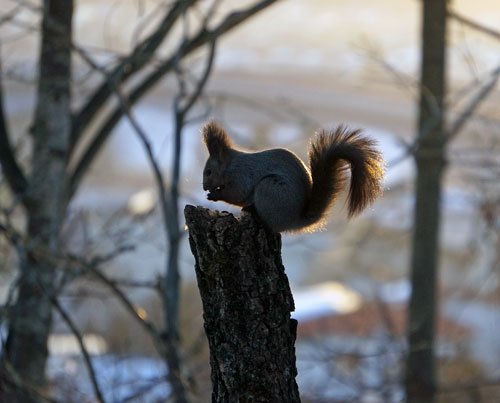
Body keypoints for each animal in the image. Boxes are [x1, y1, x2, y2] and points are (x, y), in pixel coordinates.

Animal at [201, 120, 384, 234]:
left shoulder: (242, 176)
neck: (231, 166)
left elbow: (237, 194)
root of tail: (295, 220)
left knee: (271, 224)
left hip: (270, 188)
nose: (204, 187)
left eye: (209, 171)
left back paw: (255, 213)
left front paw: (216, 194)